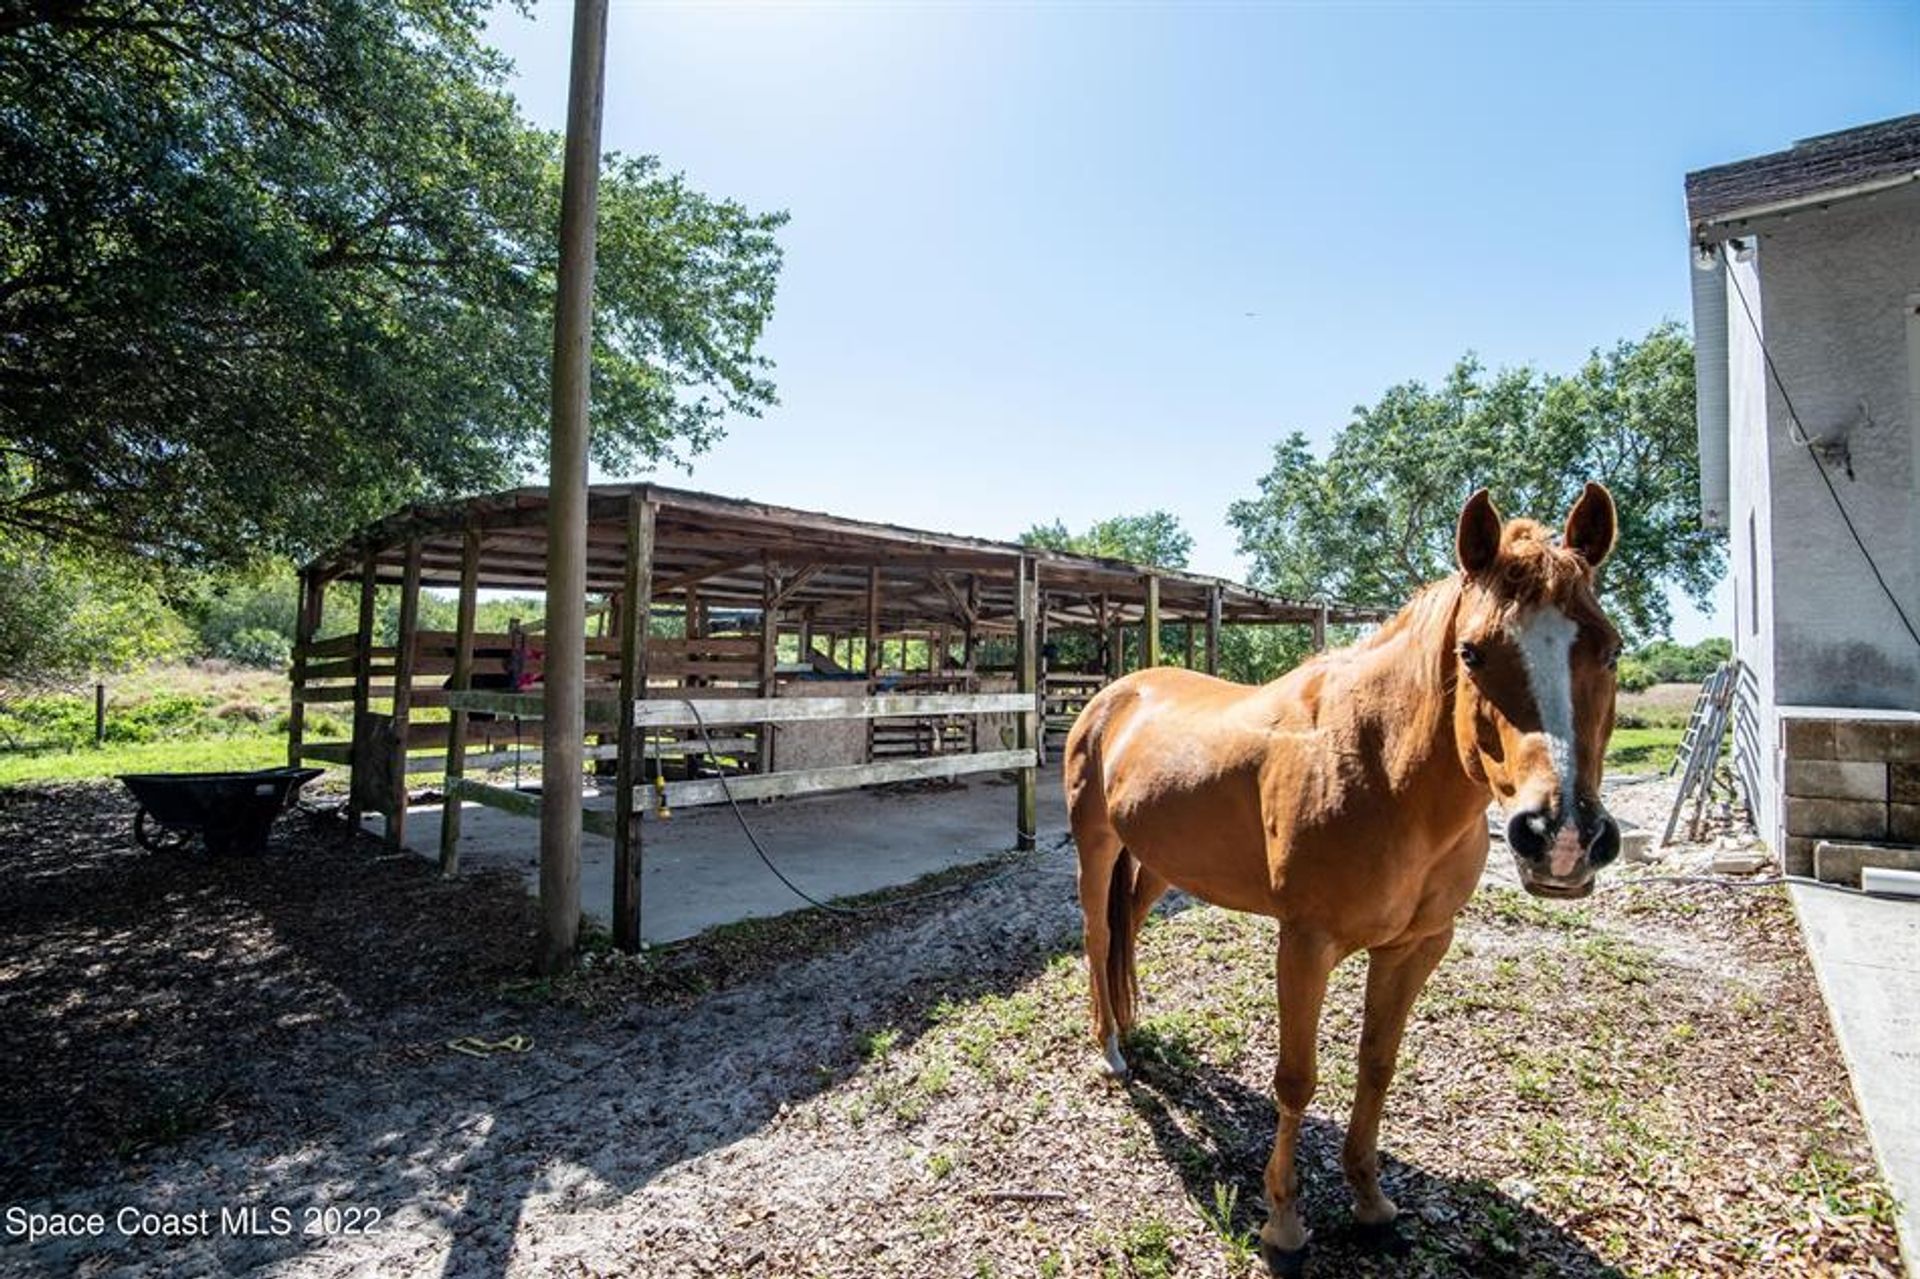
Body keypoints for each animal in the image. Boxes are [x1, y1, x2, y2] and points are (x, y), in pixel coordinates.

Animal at [1067, 480, 1620, 1267]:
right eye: (1473, 652)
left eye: (1611, 647)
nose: (1563, 837)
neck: (1382, 771)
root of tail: (1115, 693)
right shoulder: (1305, 943)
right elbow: (1296, 1079)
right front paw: (1284, 1222)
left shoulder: (1418, 946)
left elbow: (1376, 1064)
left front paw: (1370, 1200)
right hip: (1098, 847)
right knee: (1096, 938)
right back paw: (1111, 1049)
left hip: (1158, 864)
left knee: (1127, 933)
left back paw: (1134, 1026)